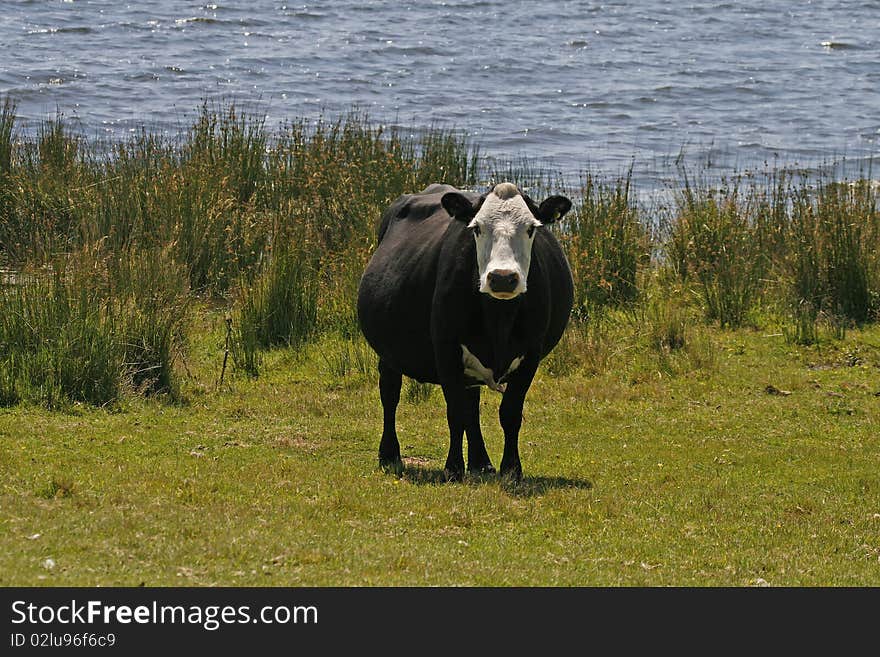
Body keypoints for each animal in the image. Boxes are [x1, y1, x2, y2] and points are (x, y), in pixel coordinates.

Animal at [358, 182, 576, 480]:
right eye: (477, 228)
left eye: (532, 228)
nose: (502, 278)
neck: (499, 321)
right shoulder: (445, 347)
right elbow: (455, 412)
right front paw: (452, 468)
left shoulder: (532, 352)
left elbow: (509, 412)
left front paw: (511, 469)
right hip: (389, 353)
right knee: (390, 395)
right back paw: (390, 454)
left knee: (472, 405)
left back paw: (480, 462)